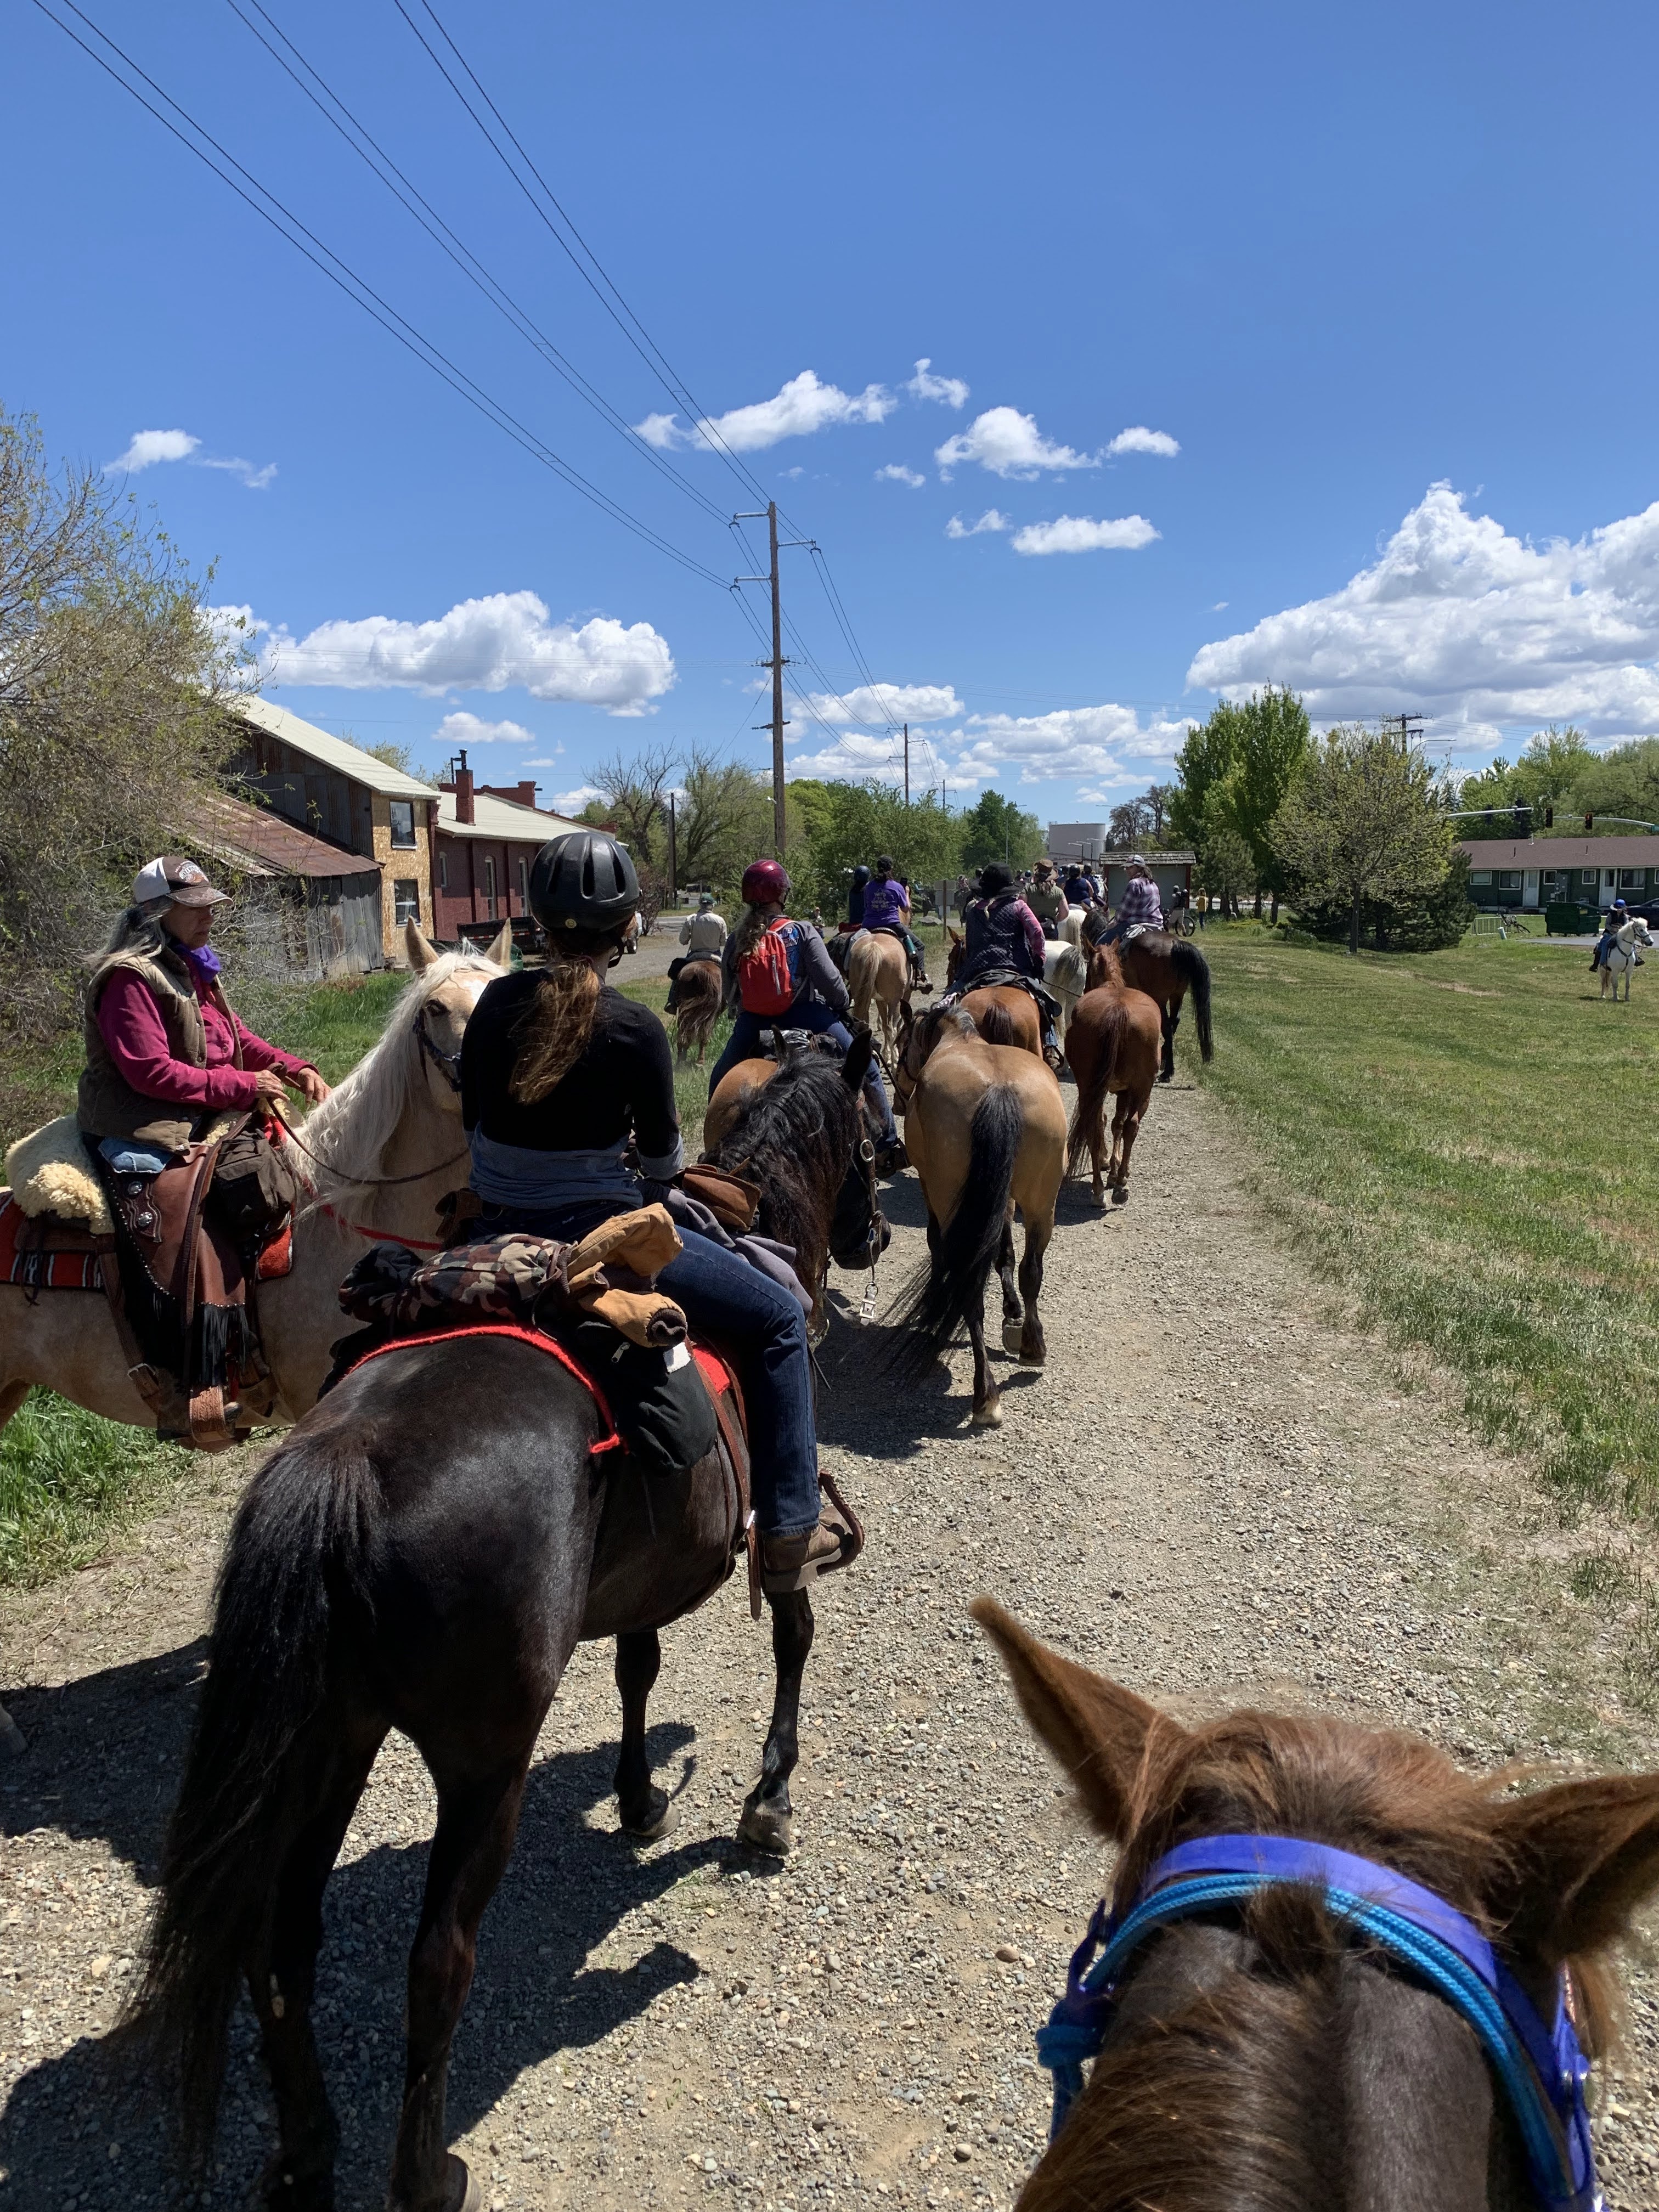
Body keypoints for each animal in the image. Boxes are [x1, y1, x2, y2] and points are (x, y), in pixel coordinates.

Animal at [121, 1039, 884, 2212]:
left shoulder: (642, 1573)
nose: (873, 1233)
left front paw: (637, 1795)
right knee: (437, 1959)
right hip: (481, 1765)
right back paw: (426, 2170)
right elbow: (789, 1637)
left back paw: (307, 2151)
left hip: (328, 1743)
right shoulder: (777, 1519)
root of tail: (343, 1460)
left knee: (279, 1939)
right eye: (873, 1134)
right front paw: (766, 1800)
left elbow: (637, 1667)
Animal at [847, 928, 909, 1068]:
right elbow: (895, 1026)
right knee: (892, 1028)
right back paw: (895, 1062)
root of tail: (873, 947)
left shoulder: (880, 1000)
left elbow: (885, 1024)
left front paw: (886, 1055)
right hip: (894, 1001)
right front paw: (892, 1057)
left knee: (864, 1024)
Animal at [888, 1005, 1066, 1427]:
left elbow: (937, 1246)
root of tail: (998, 1090)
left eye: (903, 1044)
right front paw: (1012, 1312)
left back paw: (985, 1395)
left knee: (969, 1287)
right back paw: (1033, 1345)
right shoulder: (1002, 1201)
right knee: (1032, 1271)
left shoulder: (933, 1191)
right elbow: (1006, 1253)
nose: (898, 1103)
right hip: (1042, 1204)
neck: (960, 1039)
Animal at [1065, 944, 1163, 1205]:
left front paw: (1111, 1165)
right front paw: (1115, 1168)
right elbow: (1118, 1124)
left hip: (1092, 1088)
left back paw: (1102, 1188)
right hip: (1140, 1089)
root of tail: (1118, 1009)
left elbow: (1114, 1123)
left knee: (1100, 1124)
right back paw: (1116, 1185)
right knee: (1128, 1126)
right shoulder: (1125, 1091)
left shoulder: (1117, 1090)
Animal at [1598, 915, 1653, 1000]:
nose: (1651, 942)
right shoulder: (1615, 970)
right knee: (1604, 981)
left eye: (1647, 929)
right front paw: (1615, 999)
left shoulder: (1629, 971)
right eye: (1641, 930)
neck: (1625, 950)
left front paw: (1627, 998)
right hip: (1603, 969)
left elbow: (1628, 985)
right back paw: (1603, 996)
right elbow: (1615, 984)